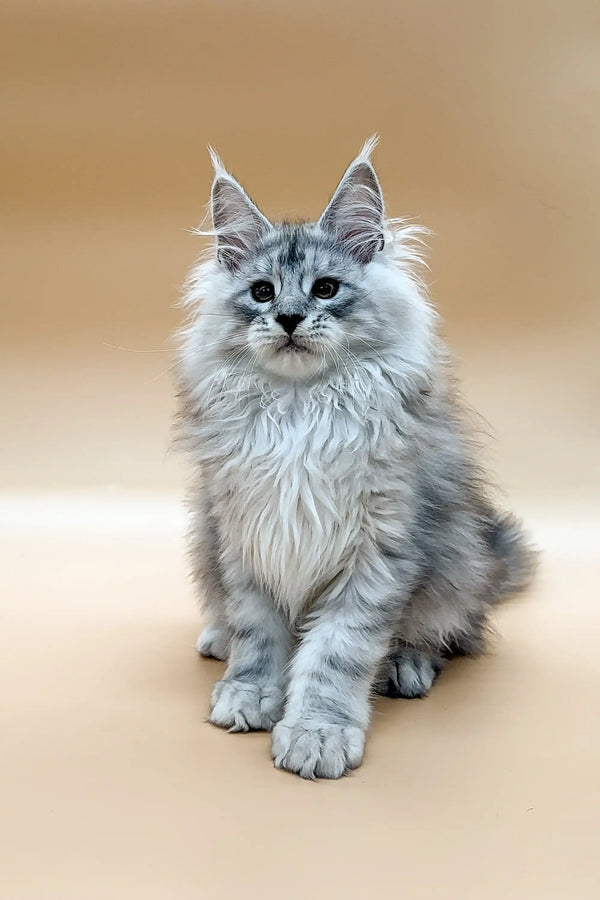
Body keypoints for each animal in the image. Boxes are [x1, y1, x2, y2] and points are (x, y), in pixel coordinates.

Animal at [175, 135, 536, 780]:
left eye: (325, 289)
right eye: (262, 292)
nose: (289, 318)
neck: (300, 410)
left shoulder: (378, 550)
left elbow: (337, 653)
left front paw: (317, 733)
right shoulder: (245, 533)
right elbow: (257, 633)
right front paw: (250, 691)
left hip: (458, 559)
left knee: (450, 633)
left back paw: (404, 667)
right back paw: (217, 638)